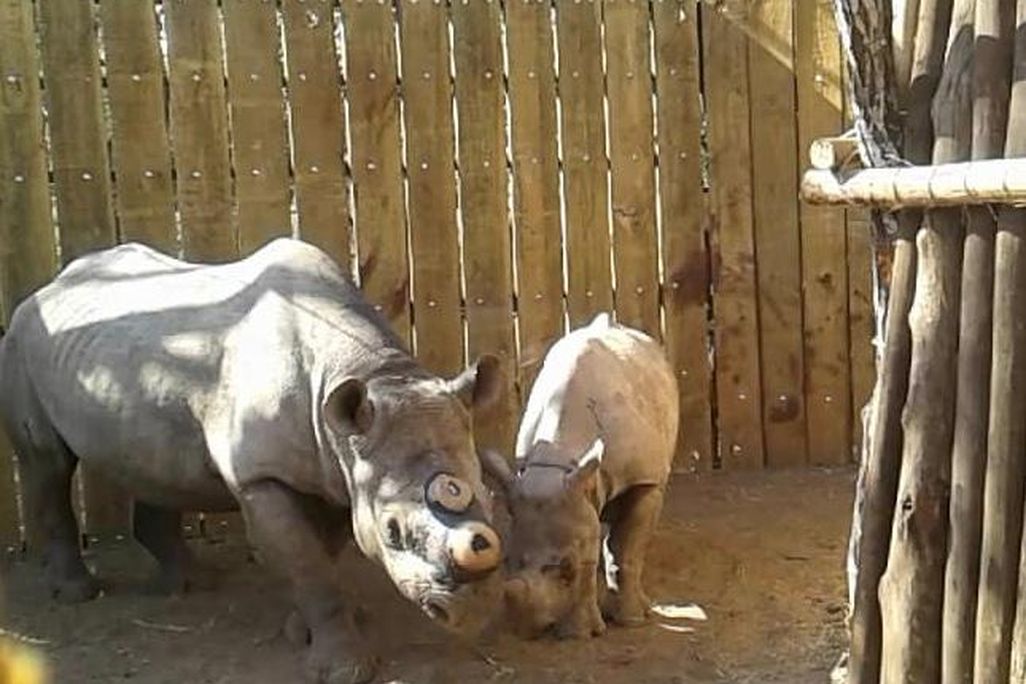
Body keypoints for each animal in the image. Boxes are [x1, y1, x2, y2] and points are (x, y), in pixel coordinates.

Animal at [0, 238, 507, 683]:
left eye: (488, 498)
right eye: (392, 531)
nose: (472, 612)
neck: (372, 374)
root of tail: (49, 286)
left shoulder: (339, 471)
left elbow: (321, 552)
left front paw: (303, 630)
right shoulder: (263, 476)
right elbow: (307, 563)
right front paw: (343, 669)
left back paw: (191, 584)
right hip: (21, 340)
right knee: (48, 463)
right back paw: (77, 594)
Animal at [482, 313, 678, 639]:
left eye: (567, 568)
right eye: (507, 560)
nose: (528, 630)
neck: (560, 460)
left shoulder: (643, 481)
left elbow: (626, 551)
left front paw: (629, 621)